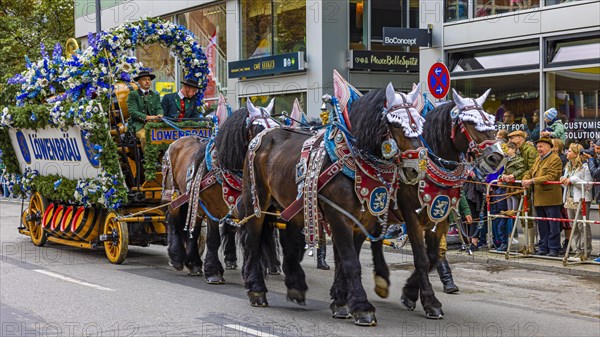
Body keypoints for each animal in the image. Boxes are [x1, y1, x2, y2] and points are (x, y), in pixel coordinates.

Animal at [162, 99, 282, 280]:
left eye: (276, 126)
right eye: (258, 128)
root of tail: (177, 142)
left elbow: (250, 238)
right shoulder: (213, 208)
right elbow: (213, 239)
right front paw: (213, 272)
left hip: (195, 202)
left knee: (194, 229)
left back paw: (194, 263)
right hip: (174, 195)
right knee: (174, 221)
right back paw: (176, 257)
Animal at [238, 82, 426, 324]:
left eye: (420, 122)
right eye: (395, 124)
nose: (416, 169)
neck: (353, 161)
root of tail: (262, 135)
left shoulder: (362, 222)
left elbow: (345, 261)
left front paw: (341, 302)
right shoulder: (340, 217)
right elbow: (350, 262)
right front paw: (362, 307)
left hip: (288, 206)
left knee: (287, 240)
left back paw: (295, 287)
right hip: (256, 203)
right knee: (252, 241)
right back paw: (256, 290)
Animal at [370, 86, 506, 318]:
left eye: (490, 121)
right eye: (470, 123)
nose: (496, 157)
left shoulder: (440, 216)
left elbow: (433, 257)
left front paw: (409, 294)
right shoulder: (412, 216)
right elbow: (421, 258)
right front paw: (430, 302)